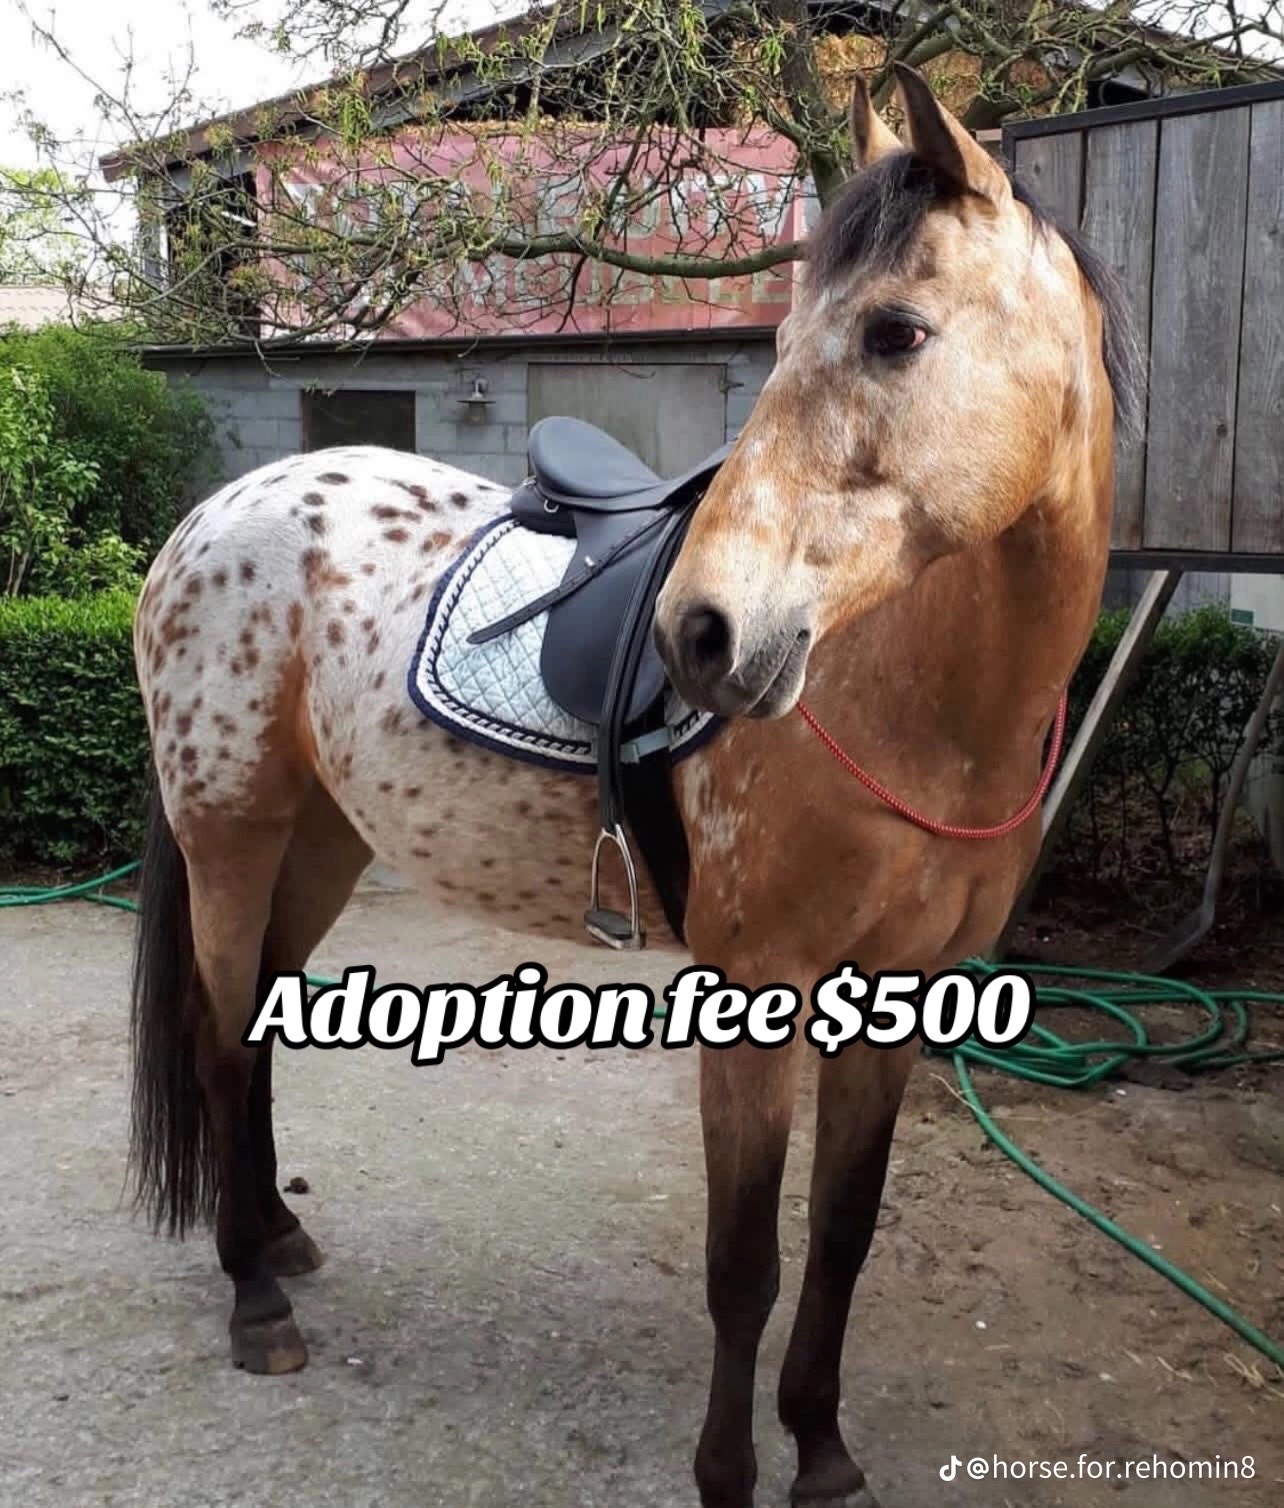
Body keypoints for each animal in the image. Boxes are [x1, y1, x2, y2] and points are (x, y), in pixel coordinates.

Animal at [129, 67, 1131, 1508]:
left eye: (896, 331)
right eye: (788, 337)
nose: (701, 637)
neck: (906, 699)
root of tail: (212, 519)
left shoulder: (894, 1000)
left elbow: (842, 1237)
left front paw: (823, 1448)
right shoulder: (757, 998)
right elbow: (744, 1264)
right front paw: (729, 1471)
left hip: (319, 842)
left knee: (258, 1021)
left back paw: (274, 1241)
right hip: (231, 833)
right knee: (218, 1037)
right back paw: (254, 1302)